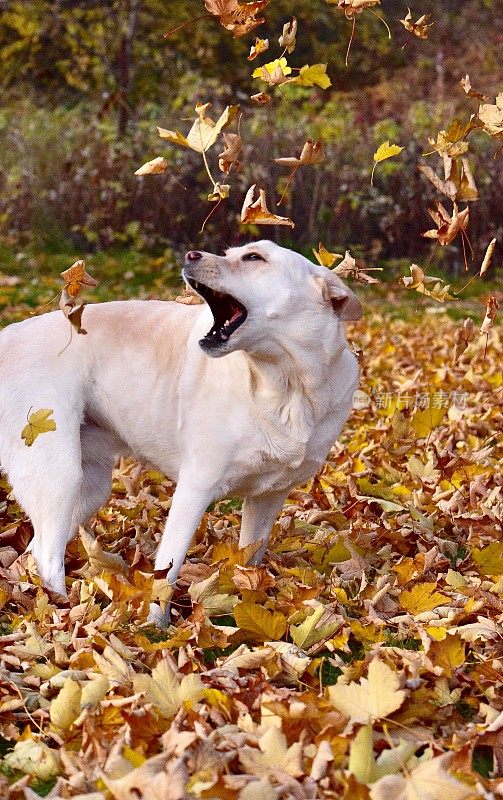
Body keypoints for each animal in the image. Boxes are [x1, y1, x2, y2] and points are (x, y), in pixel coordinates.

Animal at [0, 241, 362, 620]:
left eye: (253, 258)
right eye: (233, 253)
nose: (191, 255)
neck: (287, 384)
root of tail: (8, 333)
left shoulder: (268, 498)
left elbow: (249, 561)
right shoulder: (195, 489)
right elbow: (167, 572)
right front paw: (155, 625)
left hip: (88, 488)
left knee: (37, 546)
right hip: (58, 472)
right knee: (47, 556)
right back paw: (61, 612)